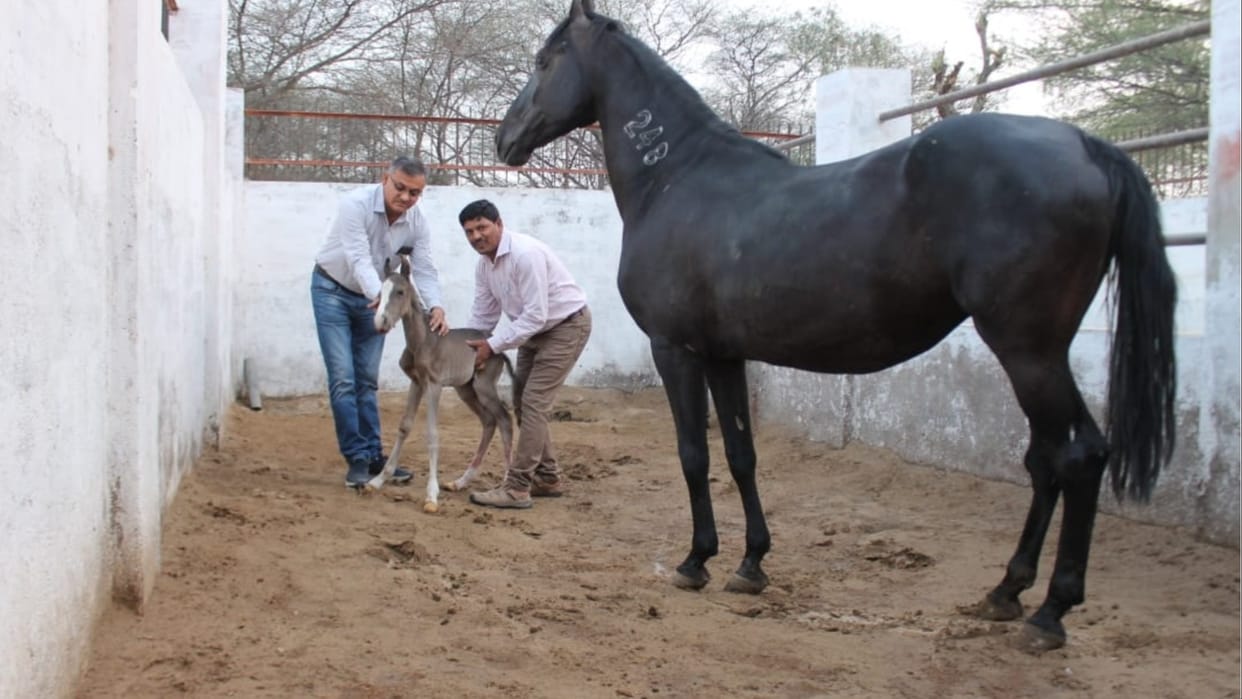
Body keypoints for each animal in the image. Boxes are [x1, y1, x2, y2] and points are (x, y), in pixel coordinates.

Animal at [368, 255, 515, 513]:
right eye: (380, 292)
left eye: (400, 291)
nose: (380, 321)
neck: (423, 341)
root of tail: (497, 348)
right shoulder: (416, 383)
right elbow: (405, 426)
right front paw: (378, 480)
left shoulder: (434, 385)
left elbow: (432, 433)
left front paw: (431, 495)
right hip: (465, 389)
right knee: (489, 421)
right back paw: (461, 481)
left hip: (484, 387)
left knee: (504, 420)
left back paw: (506, 483)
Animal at [494, 0, 1177, 651]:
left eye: (544, 61)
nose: (504, 138)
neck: (676, 177)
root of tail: (1085, 144)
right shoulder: (724, 354)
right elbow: (740, 454)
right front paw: (751, 563)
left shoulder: (676, 349)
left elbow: (693, 454)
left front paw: (696, 561)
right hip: (1035, 355)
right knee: (1046, 460)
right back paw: (1005, 592)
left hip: (1028, 350)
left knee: (1078, 457)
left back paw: (1050, 613)